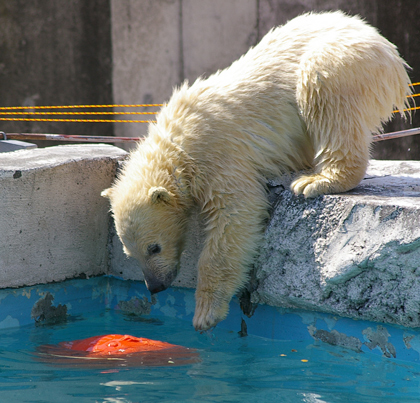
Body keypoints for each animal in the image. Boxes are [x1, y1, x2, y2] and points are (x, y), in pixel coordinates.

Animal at [101, 11, 410, 332]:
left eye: (154, 248)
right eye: (129, 252)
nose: (155, 287)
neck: (174, 142)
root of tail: (381, 42)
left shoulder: (215, 152)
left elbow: (236, 213)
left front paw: (206, 312)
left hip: (346, 61)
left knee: (324, 88)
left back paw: (317, 181)